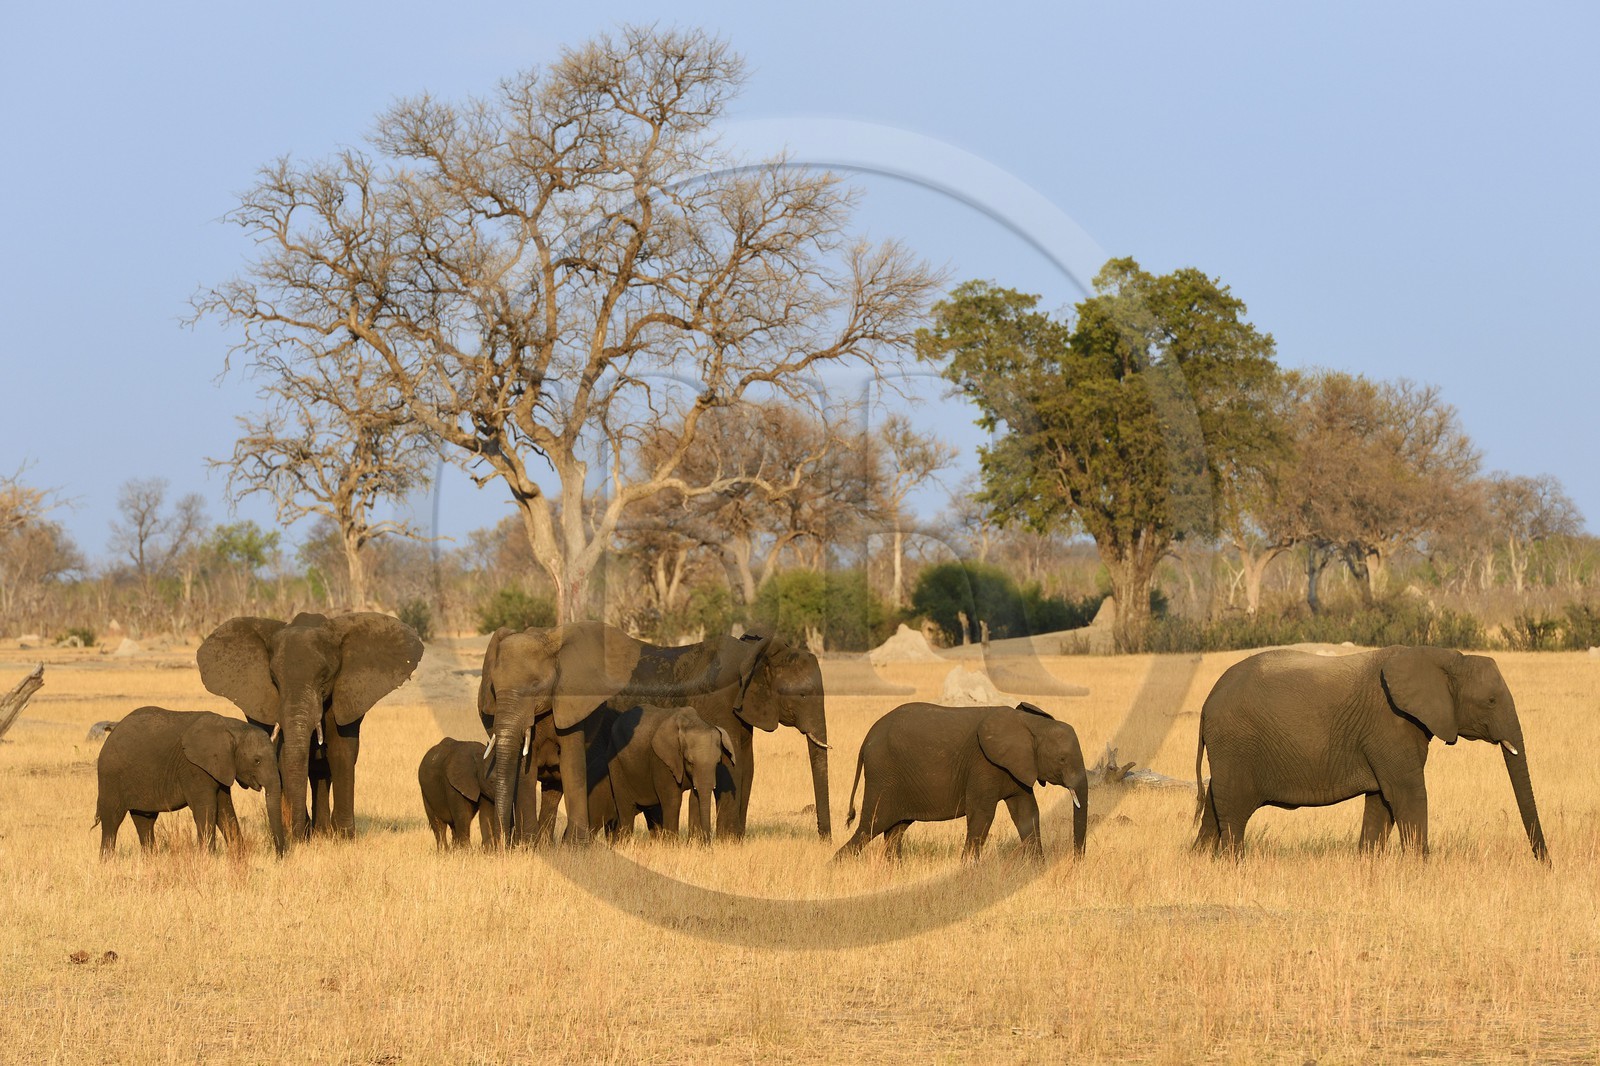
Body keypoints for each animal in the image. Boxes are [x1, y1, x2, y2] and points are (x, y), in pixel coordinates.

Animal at [95, 707, 285, 857]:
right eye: (257, 761)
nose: (279, 856)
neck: (231, 728)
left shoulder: (220, 767)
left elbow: (225, 810)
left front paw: (240, 856)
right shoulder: (193, 767)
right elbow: (207, 808)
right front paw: (208, 859)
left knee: (144, 820)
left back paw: (150, 859)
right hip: (110, 776)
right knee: (112, 819)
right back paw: (107, 862)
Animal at [197, 611, 423, 842]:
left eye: (324, 677)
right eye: (274, 679)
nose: (295, 836)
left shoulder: (345, 694)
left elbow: (342, 751)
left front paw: (344, 838)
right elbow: (283, 755)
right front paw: (301, 836)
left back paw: (322, 832)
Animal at [833, 702, 1088, 862]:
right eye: (1062, 759)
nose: (1076, 862)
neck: (1030, 724)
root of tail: (867, 738)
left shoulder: (1018, 769)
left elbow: (1027, 812)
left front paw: (1036, 868)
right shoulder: (984, 764)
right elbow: (982, 814)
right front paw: (968, 869)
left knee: (895, 830)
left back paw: (893, 869)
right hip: (883, 775)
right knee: (871, 826)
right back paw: (836, 866)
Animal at [1192, 646, 1549, 861]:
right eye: (1490, 701)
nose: (1545, 864)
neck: (1442, 656)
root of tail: (1207, 703)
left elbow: (1381, 800)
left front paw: (1368, 863)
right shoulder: (1390, 725)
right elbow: (1407, 794)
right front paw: (1421, 869)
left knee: (1214, 804)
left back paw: (1199, 859)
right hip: (1236, 744)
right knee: (1234, 811)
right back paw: (1234, 863)